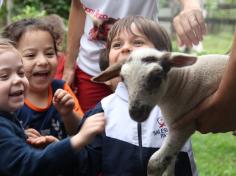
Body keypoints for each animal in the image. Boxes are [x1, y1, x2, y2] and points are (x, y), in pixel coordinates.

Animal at [91, 47, 228, 175]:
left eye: (156, 77)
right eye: (122, 78)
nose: (135, 113)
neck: (181, 84)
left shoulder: (183, 125)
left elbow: (154, 164)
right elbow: (169, 163)